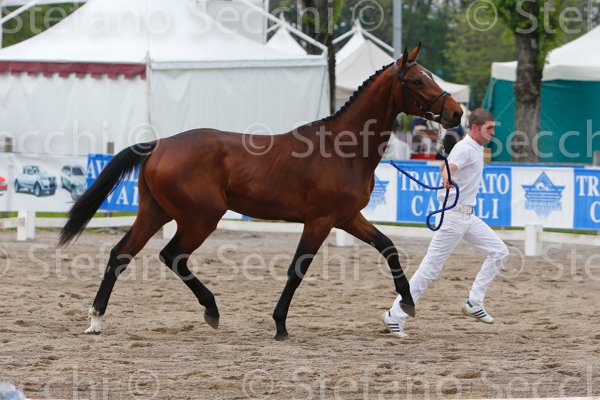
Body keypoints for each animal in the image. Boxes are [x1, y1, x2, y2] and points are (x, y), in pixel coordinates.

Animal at [59, 44, 463, 340]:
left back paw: (96, 320)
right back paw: (211, 310)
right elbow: (297, 269)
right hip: (200, 218)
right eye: (417, 80)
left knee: (120, 254)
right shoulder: (320, 221)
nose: (457, 113)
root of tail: (159, 145)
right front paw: (280, 324)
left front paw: (406, 305)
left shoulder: (348, 218)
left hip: (155, 212)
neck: (341, 148)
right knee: (172, 255)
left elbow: (388, 247)